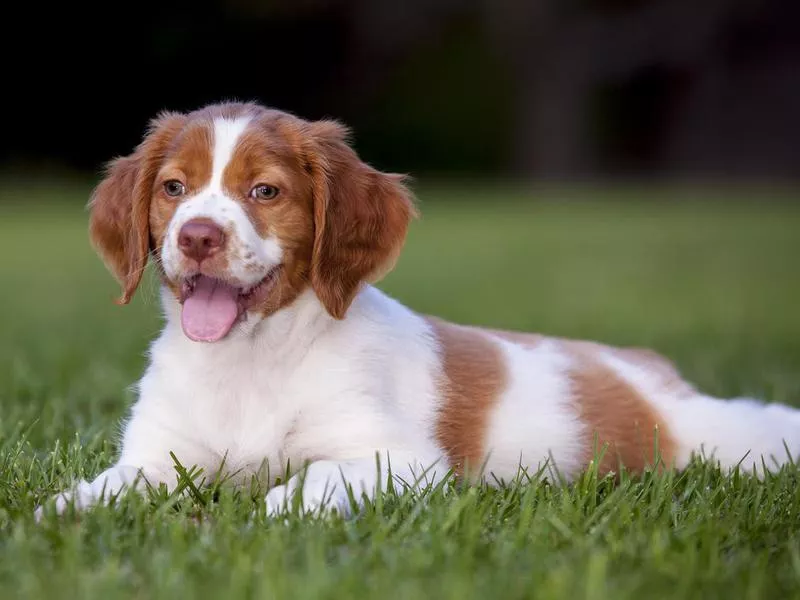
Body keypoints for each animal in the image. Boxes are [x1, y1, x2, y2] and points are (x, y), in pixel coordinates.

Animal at [36, 101, 800, 516]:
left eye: (265, 192)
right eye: (173, 187)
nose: (197, 236)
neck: (252, 360)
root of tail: (648, 367)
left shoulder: (400, 459)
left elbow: (306, 482)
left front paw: (271, 507)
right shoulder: (159, 457)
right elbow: (102, 489)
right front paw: (57, 515)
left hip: (723, 440)